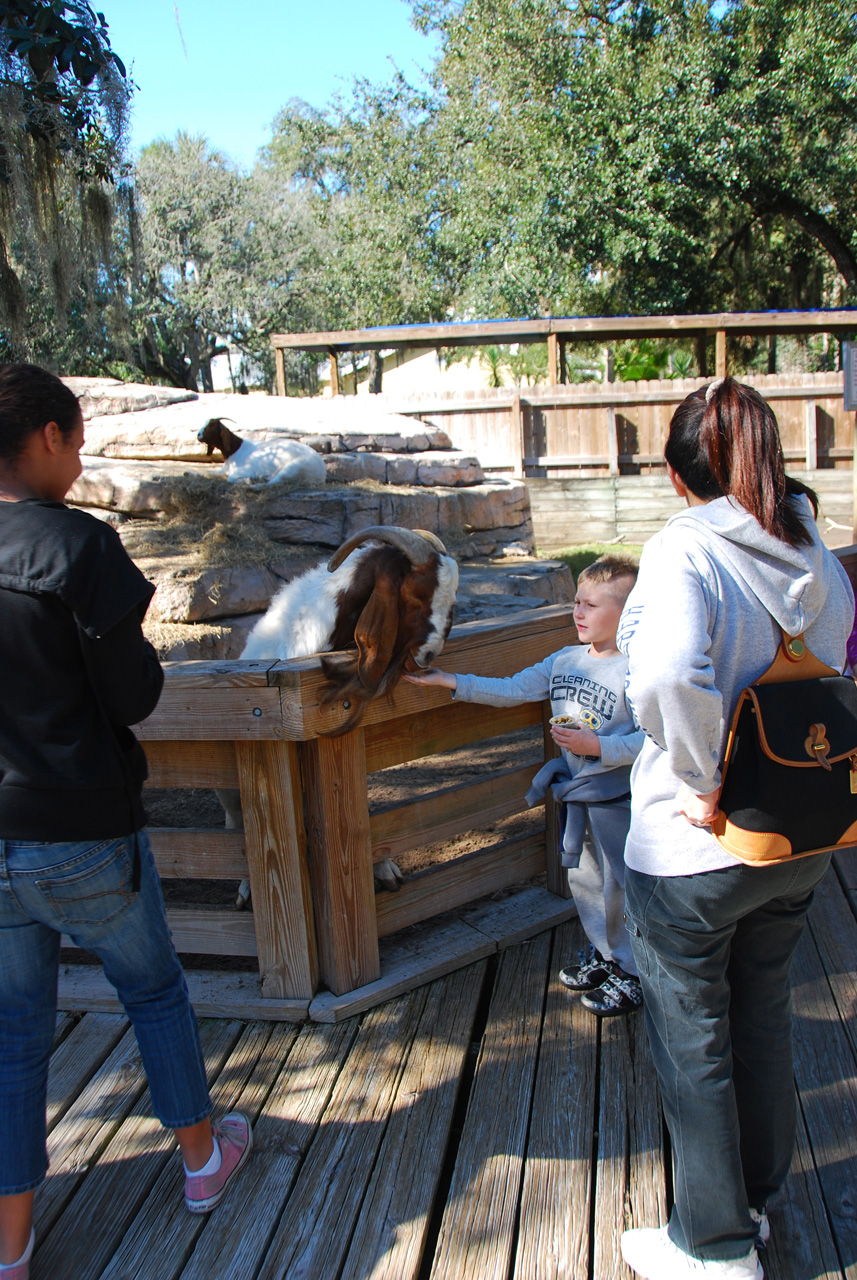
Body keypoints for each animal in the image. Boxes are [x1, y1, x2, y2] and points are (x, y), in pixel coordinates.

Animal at [199, 417, 330, 486]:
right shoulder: (223, 470)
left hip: (292, 468)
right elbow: (208, 472)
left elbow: (230, 478)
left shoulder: (246, 469)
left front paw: (248, 480)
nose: (198, 435)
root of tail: (321, 473)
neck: (234, 450)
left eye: (211, 425)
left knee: (271, 483)